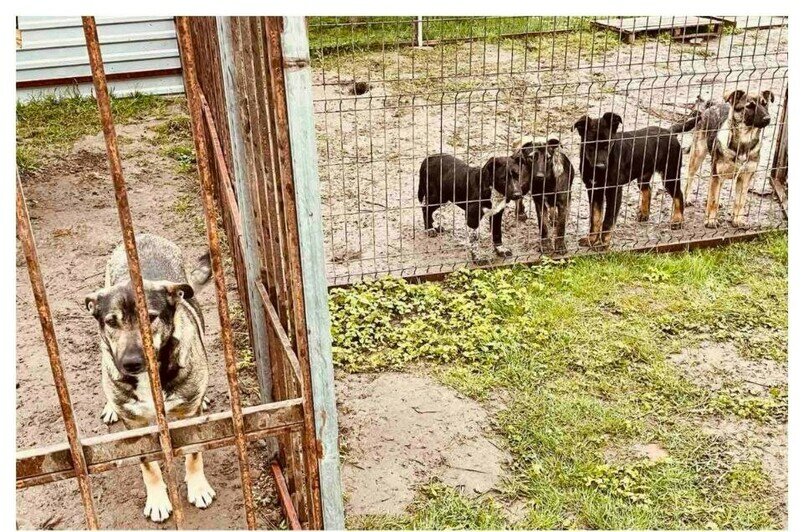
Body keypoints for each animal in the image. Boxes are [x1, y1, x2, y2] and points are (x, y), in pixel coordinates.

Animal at [84, 234, 214, 524]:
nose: (131, 363)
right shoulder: (136, 425)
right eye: (112, 322)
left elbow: (194, 453)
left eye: (151, 318)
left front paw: (198, 487)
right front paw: (157, 501)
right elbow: (148, 465)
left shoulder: (190, 416)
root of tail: (143, 235)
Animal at [572, 112, 696, 249]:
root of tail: (669, 131)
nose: (600, 166)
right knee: (648, 190)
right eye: (590, 146)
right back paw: (644, 214)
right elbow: (595, 217)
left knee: (678, 194)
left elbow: (608, 219)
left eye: (608, 145)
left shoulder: (613, 191)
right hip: (643, 176)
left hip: (670, 174)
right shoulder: (593, 189)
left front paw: (603, 243)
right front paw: (591, 239)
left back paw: (677, 219)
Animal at [680, 89, 776, 227]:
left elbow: (740, 201)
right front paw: (711, 220)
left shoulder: (745, 177)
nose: (767, 118)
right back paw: (687, 199)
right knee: (690, 178)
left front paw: (738, 220)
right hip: (697, 156)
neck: (743, 142)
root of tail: (712, 105)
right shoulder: (717, 173)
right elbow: (713, 200)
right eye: (749, 106)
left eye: (765, 104)